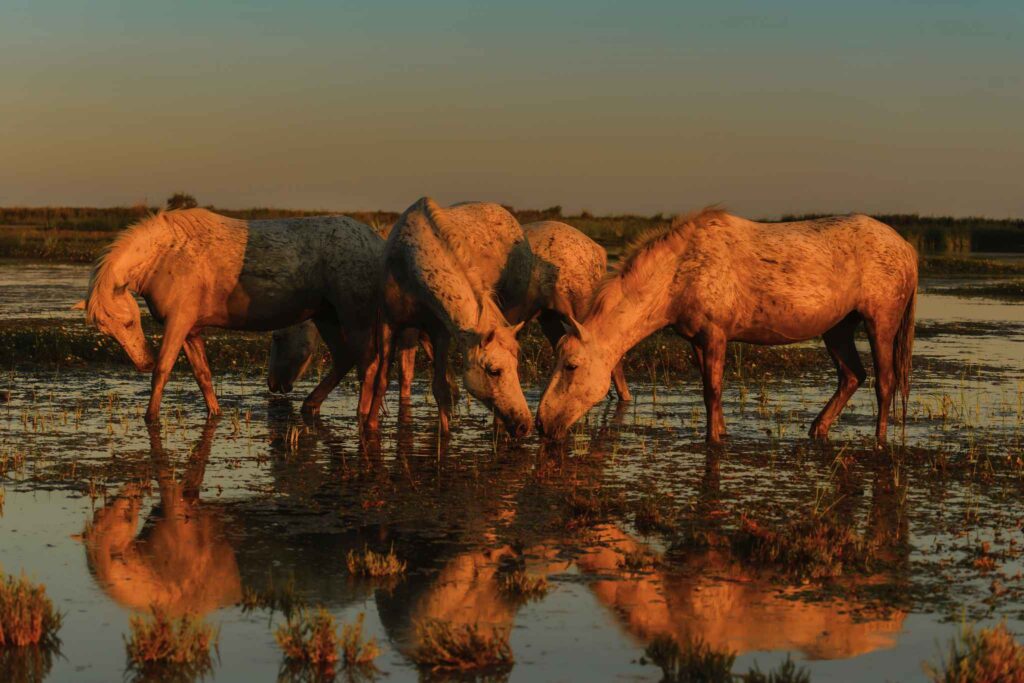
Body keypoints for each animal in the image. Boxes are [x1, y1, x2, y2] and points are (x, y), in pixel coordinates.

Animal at [75, 208, 387, 424]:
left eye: (130, 322)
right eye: (108, 331)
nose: (143, 362)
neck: (166, 255)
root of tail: (375, 242)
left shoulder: (178, 324)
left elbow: (162, 371)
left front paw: (150, 417)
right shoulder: (190, 331)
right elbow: (203, 375)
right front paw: (215, 413)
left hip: (354, 317)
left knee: (368, 365)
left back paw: (362, 416)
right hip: (327, 317)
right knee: (345, 359)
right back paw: (311, 405)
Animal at [268, 219, 631, 404]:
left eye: (278, 339)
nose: (273, 385)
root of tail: (597, 250)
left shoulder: (408, 329)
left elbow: (406, 371)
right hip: (552, 318)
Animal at [373, 197, 534, 437]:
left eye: (516, 367)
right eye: (494, 371)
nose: (525, 425)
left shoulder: (440, 332)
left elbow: (440, 388)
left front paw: (446, 436)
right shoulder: (391, 323)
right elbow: (385, 381)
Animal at [537, 209, 917, 444]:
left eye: (571, 366)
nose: (541, 423)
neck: (680, 272)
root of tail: (905, 247)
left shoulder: (715, 335)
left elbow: (713, 390)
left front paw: (713, 438)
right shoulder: (697, 340)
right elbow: (710, 388)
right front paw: (720, 432)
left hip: (880, 322)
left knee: (885, 383)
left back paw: (879, 439)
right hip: (837, 328)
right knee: (852, 376)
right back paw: (817, 429)